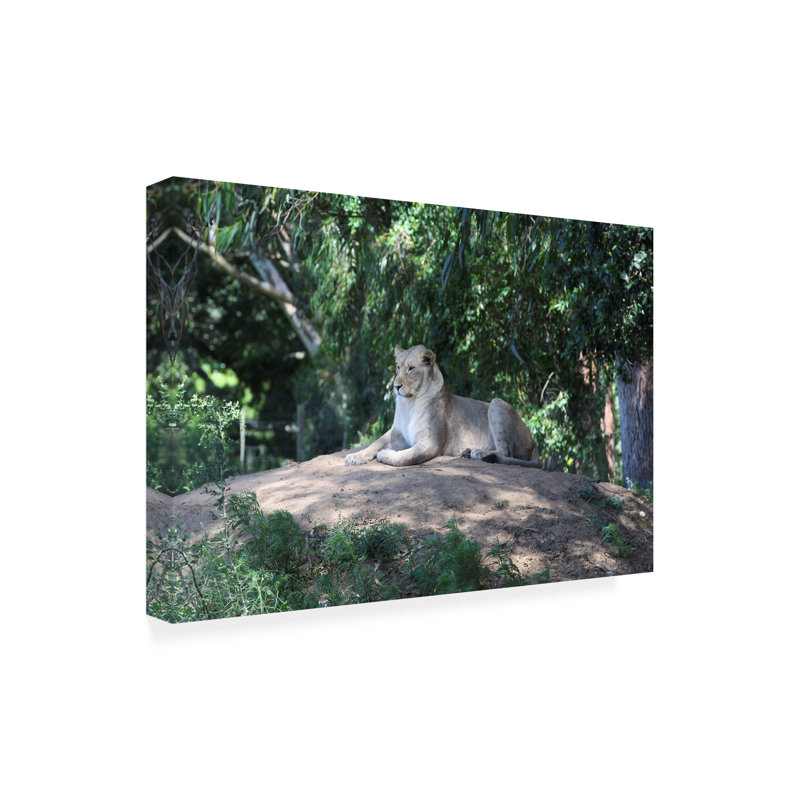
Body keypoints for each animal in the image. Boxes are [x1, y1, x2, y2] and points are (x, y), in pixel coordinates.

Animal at [344, 344, 540, 468]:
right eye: (398, 367)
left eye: (411, 368)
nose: (396, 386)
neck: (410, 403)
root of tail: (534, 443)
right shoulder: (397, 432)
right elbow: (375, 443)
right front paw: (355, 457)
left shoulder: (431, 442)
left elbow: (407, 456)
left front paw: (386, 455)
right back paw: (467, 452)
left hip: (497, 403)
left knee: (506, 452)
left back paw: (479, 453)